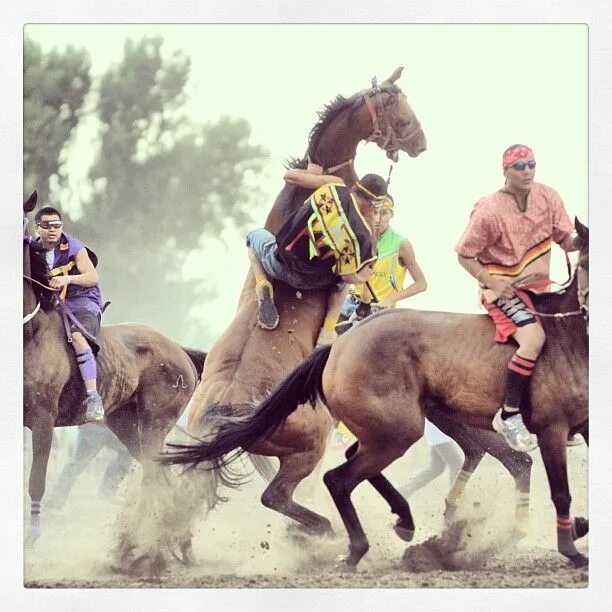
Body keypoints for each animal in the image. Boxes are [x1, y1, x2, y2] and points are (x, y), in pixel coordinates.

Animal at [163, 65, 426, 536]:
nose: (420, 143)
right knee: (278, 495)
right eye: (401, 109)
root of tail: (226, 407)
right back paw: (322, 532)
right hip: (308, 446)